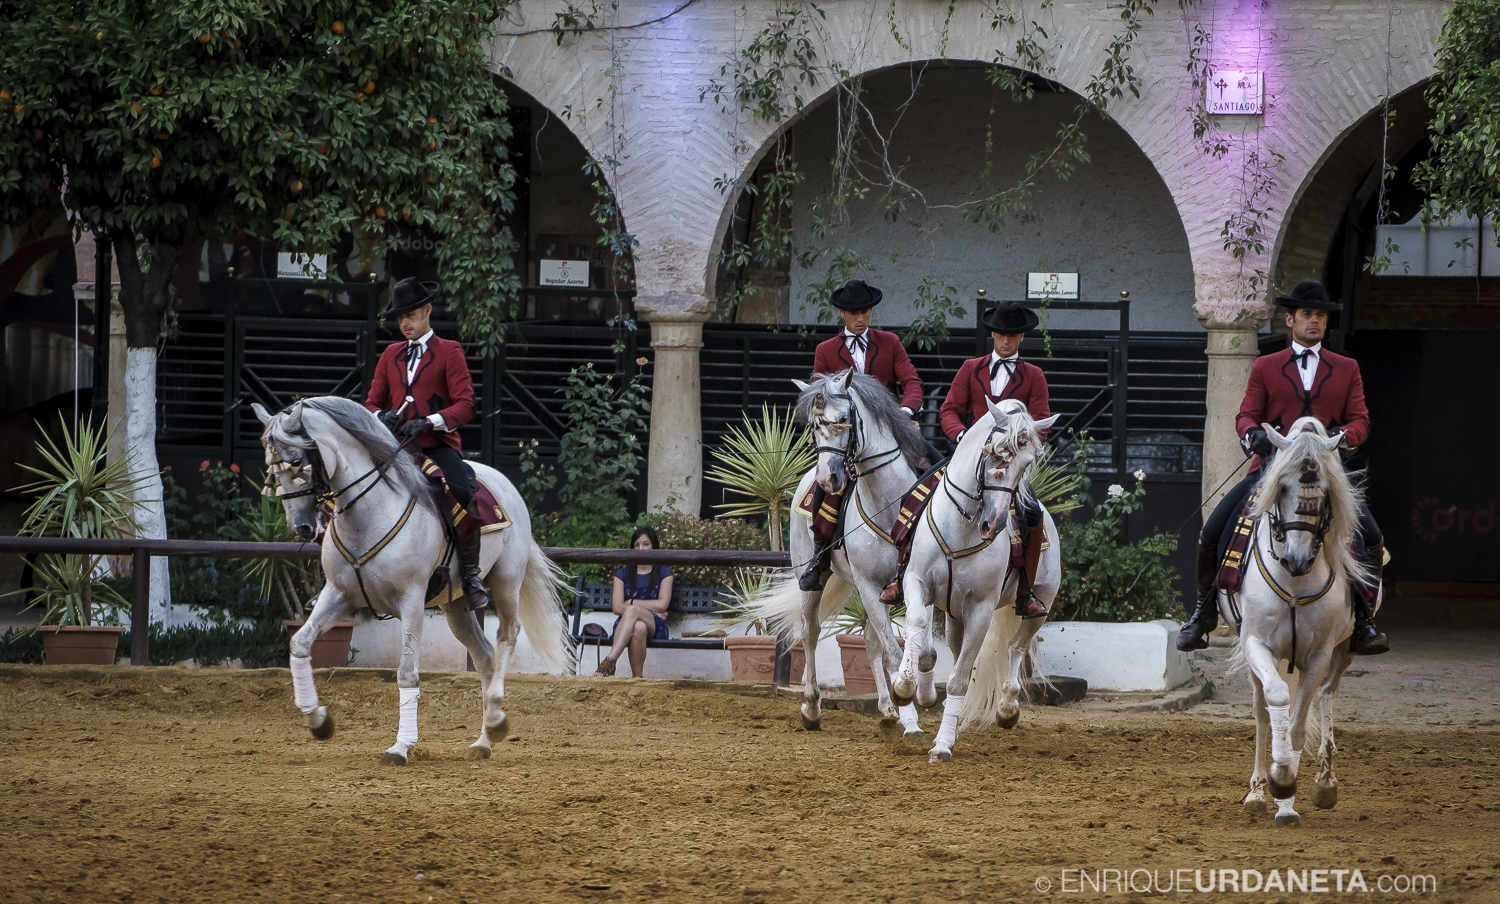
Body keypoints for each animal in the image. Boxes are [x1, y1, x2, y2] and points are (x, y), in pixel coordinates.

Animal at [255, 395, 570, 764]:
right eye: (270, 466)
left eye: (296, 461)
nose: (301, 526)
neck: (369, 513)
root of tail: (504, 483)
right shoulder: (338, 595)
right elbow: (300, 644)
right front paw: (318, 720)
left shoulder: (411, 601)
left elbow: (407, 673)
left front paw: (401, 746)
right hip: (455, 605)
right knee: (484, 656)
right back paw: (483, 741)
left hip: (505, 581)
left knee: (508, 634)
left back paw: (495, 720)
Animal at [744, 371, 930, 740]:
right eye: (814, 427)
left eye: (844, 419)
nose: (829, 479)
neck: (890, 508)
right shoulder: (869, 586)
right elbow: (893, 653)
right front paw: (910, 718)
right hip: (812, 579)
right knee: (810, 633)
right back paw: (812, 707)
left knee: (870, 641)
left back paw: (887, 709)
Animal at [888, 398, 1068, 761]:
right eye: (996, 453)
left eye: (1027, 464)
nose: (993, 524)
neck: (962, 527)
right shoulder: (917, 583)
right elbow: (916, 622)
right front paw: (904, 687)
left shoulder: (981, 609)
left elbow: (959, 679)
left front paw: (942, 745)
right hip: (955, 616)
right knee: (961, 653)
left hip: (1040, 602)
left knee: (1015, 646)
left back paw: (1007, 709)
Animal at [1218, 416, 1374, 827]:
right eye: (1282, 486)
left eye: (1326, 492)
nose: (1296, 559)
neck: (1294, 582)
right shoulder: (1257, 643)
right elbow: (1276, 703)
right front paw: (1275, 783)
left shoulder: (1318, 654)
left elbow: (1299, 727)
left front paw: (1287, 790)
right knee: (1263, 712)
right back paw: (1258, 792)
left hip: (1342, 651)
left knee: (1325, 695)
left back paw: (1323, 782)